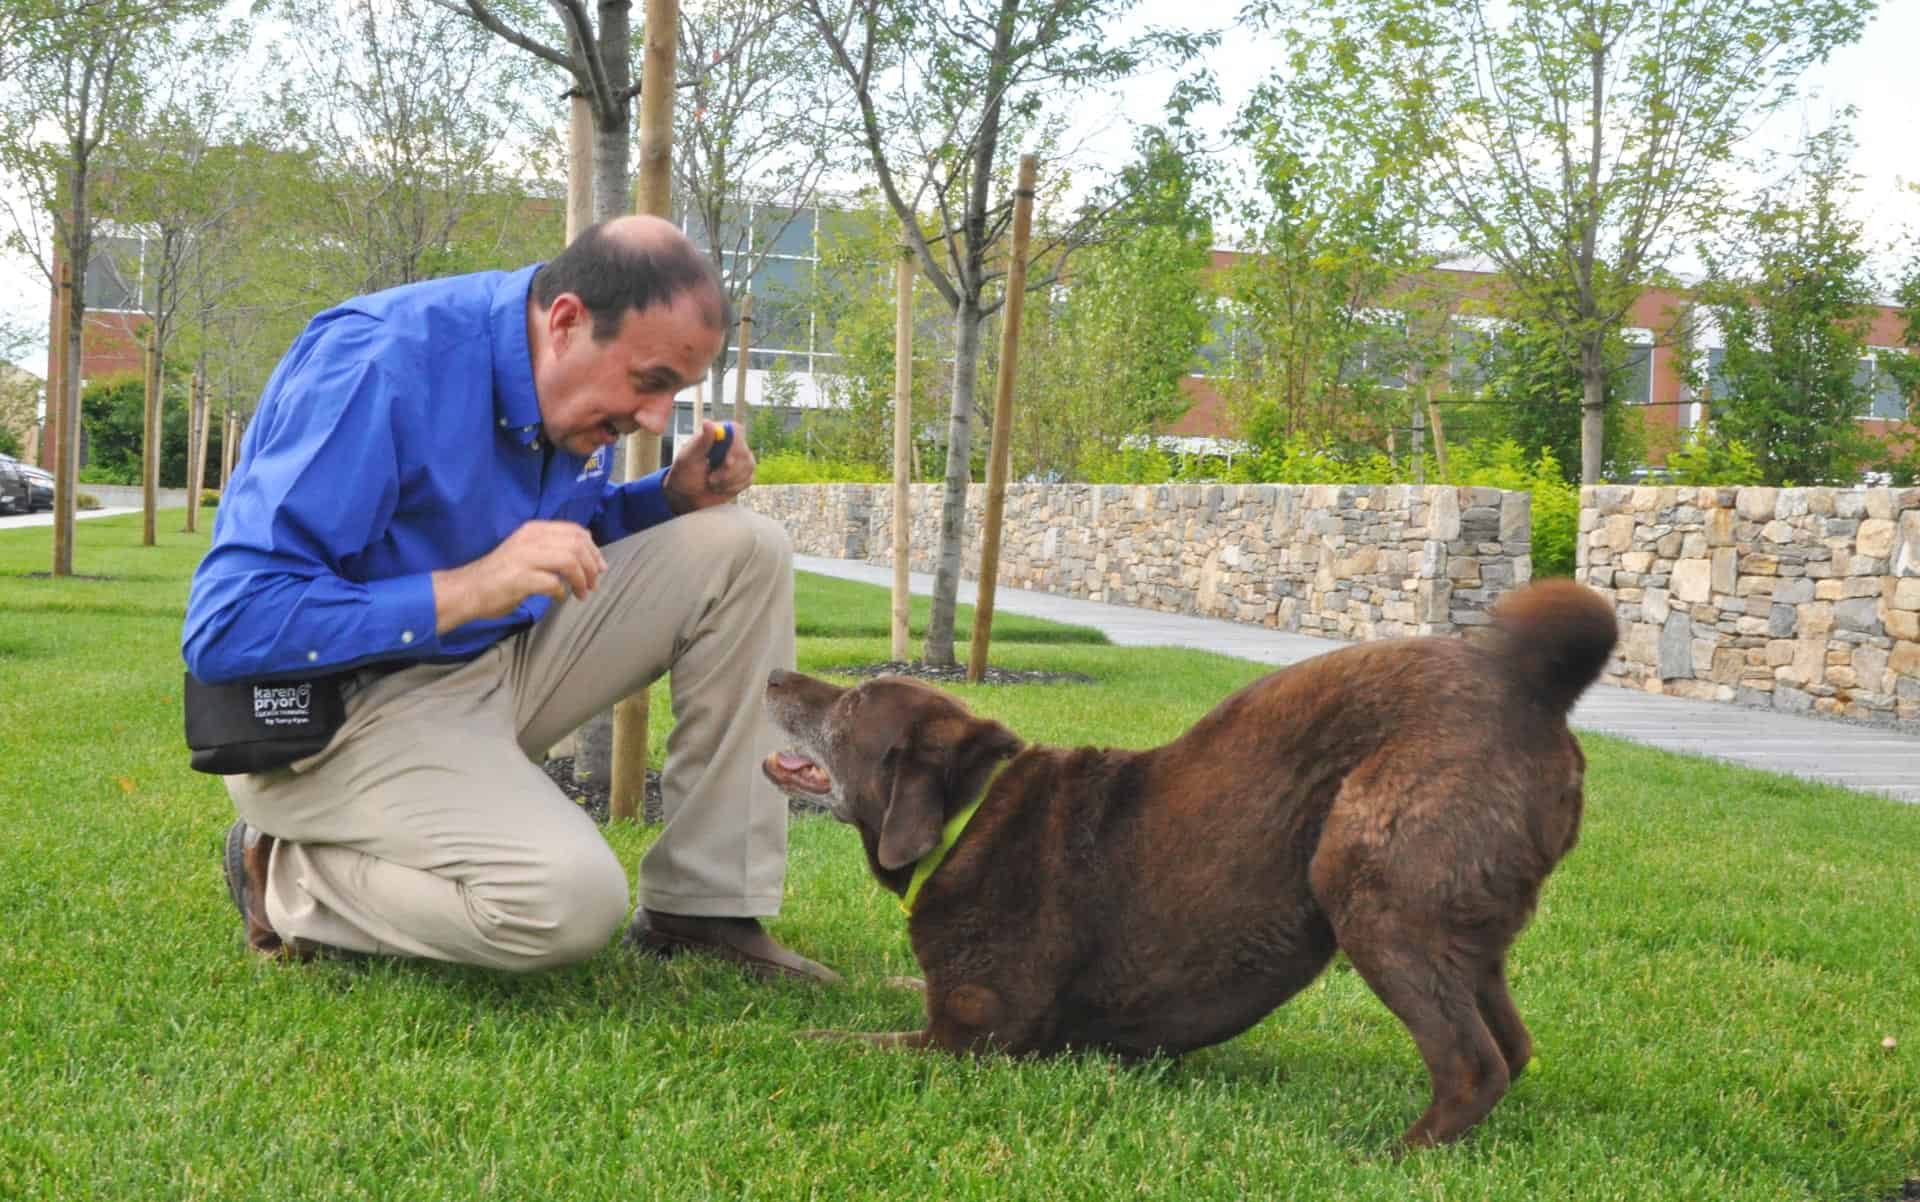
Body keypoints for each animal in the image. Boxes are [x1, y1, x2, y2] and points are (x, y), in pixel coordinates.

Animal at [764, 579, 1620, 1144]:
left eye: (851, 703)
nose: (773, 672)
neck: (963, 821)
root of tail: (1526, 686)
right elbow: (899, 991)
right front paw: (883, 984)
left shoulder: (976, 1040)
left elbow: (839, 1043)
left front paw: (773, 1038)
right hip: (1466, 924)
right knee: (1512, 1045)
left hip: (1368, 889)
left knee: (1474, 1064)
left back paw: (1396, 1152)